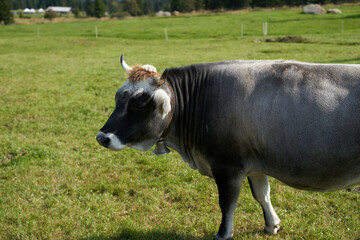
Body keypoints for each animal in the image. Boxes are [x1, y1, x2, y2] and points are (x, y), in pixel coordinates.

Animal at [97, 54, 360, 240]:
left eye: (139, 102)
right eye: (118, 96)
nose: (102, 137)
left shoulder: (226, 165)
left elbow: (227, 202)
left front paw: (223, 233)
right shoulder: (256, 164)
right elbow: (262, 194)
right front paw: (271, 225)